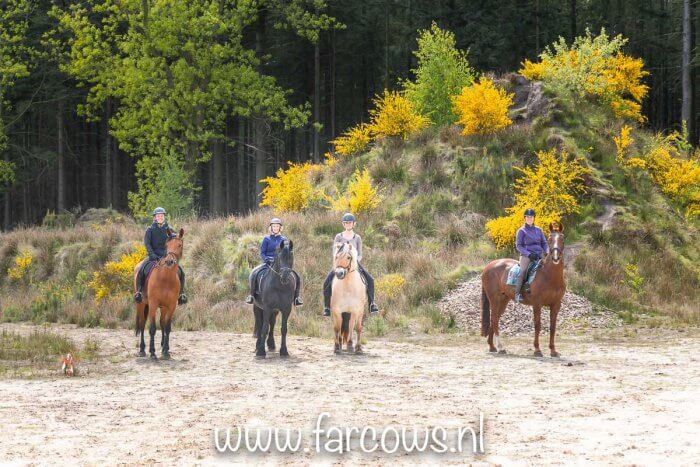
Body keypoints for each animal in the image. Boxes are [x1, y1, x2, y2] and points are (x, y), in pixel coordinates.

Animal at [133, 229, 185, 360]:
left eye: (179, 245)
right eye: (167, 245)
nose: (169, 261)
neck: (166, 278)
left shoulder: (171, 306)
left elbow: (167, 328)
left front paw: (166, 351)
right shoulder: (153, 304)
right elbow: (152, 328)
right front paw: (152, 352)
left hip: (164, 307)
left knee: (162, 324)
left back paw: (163, 347)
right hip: (141, 304)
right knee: (142, 324)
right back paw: (142, 350)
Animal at [478, 223, 568, 358]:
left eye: (562, 238)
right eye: (549, 239)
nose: (555, 258)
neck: (548, 275)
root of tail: (489, 266)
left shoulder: (556, 305)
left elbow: (553, 327)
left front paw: (553, 351)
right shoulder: (537, 304)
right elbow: (537, 325)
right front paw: (537, 350)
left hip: (503, 301)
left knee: (495, 319)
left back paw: (492, 346)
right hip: (494, 300)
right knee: (494, 319)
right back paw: (500, 347)